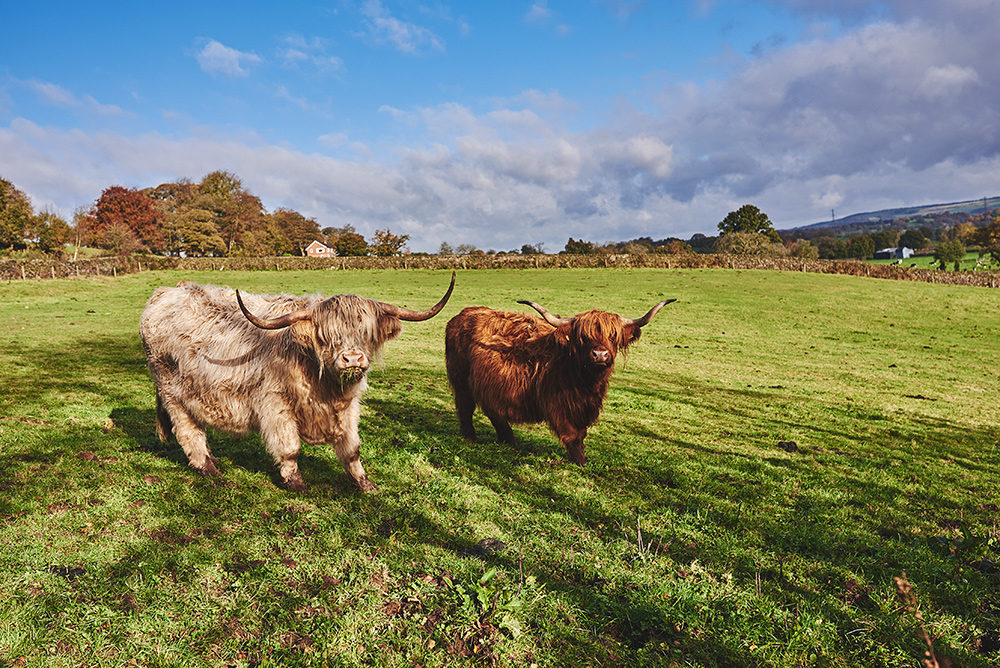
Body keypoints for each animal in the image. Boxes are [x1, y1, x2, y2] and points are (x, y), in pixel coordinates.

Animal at [139, 273, 455, 493]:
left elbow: (352, 450)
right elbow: (290, 448)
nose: (352, 359)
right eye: (327, 336)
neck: (323, 384)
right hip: (171, 391)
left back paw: (212, 459)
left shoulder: (349, 408)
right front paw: (296, 483)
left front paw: (366, 485)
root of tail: (166, 292)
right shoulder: (275, 405)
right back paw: (209, 469)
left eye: (366, 332)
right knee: (187, 431)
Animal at [444, 297, 675, 466]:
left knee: (493, 410)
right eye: (584, 337)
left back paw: (509, 440)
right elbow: (571, 434)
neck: (584, 381)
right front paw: (580, 460)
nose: (599, 355)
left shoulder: (584, 407)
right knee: (465, 408)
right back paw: (472, 438)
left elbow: (581, 433)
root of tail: (463, 314)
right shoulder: (558, 404)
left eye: (613, 336)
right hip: (461, 381)